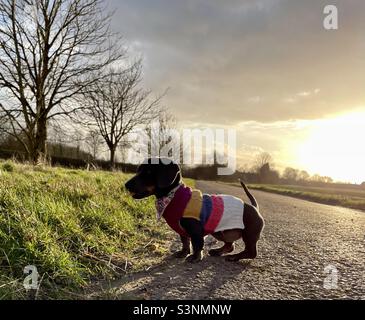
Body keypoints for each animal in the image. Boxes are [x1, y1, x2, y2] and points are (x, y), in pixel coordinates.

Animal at [123, 158, 264, 262]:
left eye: (148, 172)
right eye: (138, 170)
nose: (126, 185)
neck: (174, 195)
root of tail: (254, 207)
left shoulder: (196, 229)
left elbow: (197, 244)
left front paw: (195, 257)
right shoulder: (182, 231)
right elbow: (185, 242)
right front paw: (183, 253)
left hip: (249, 235)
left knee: (251, 253)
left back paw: (234, 257)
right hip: (222, 232)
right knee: (230, 246)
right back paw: (217, 251)